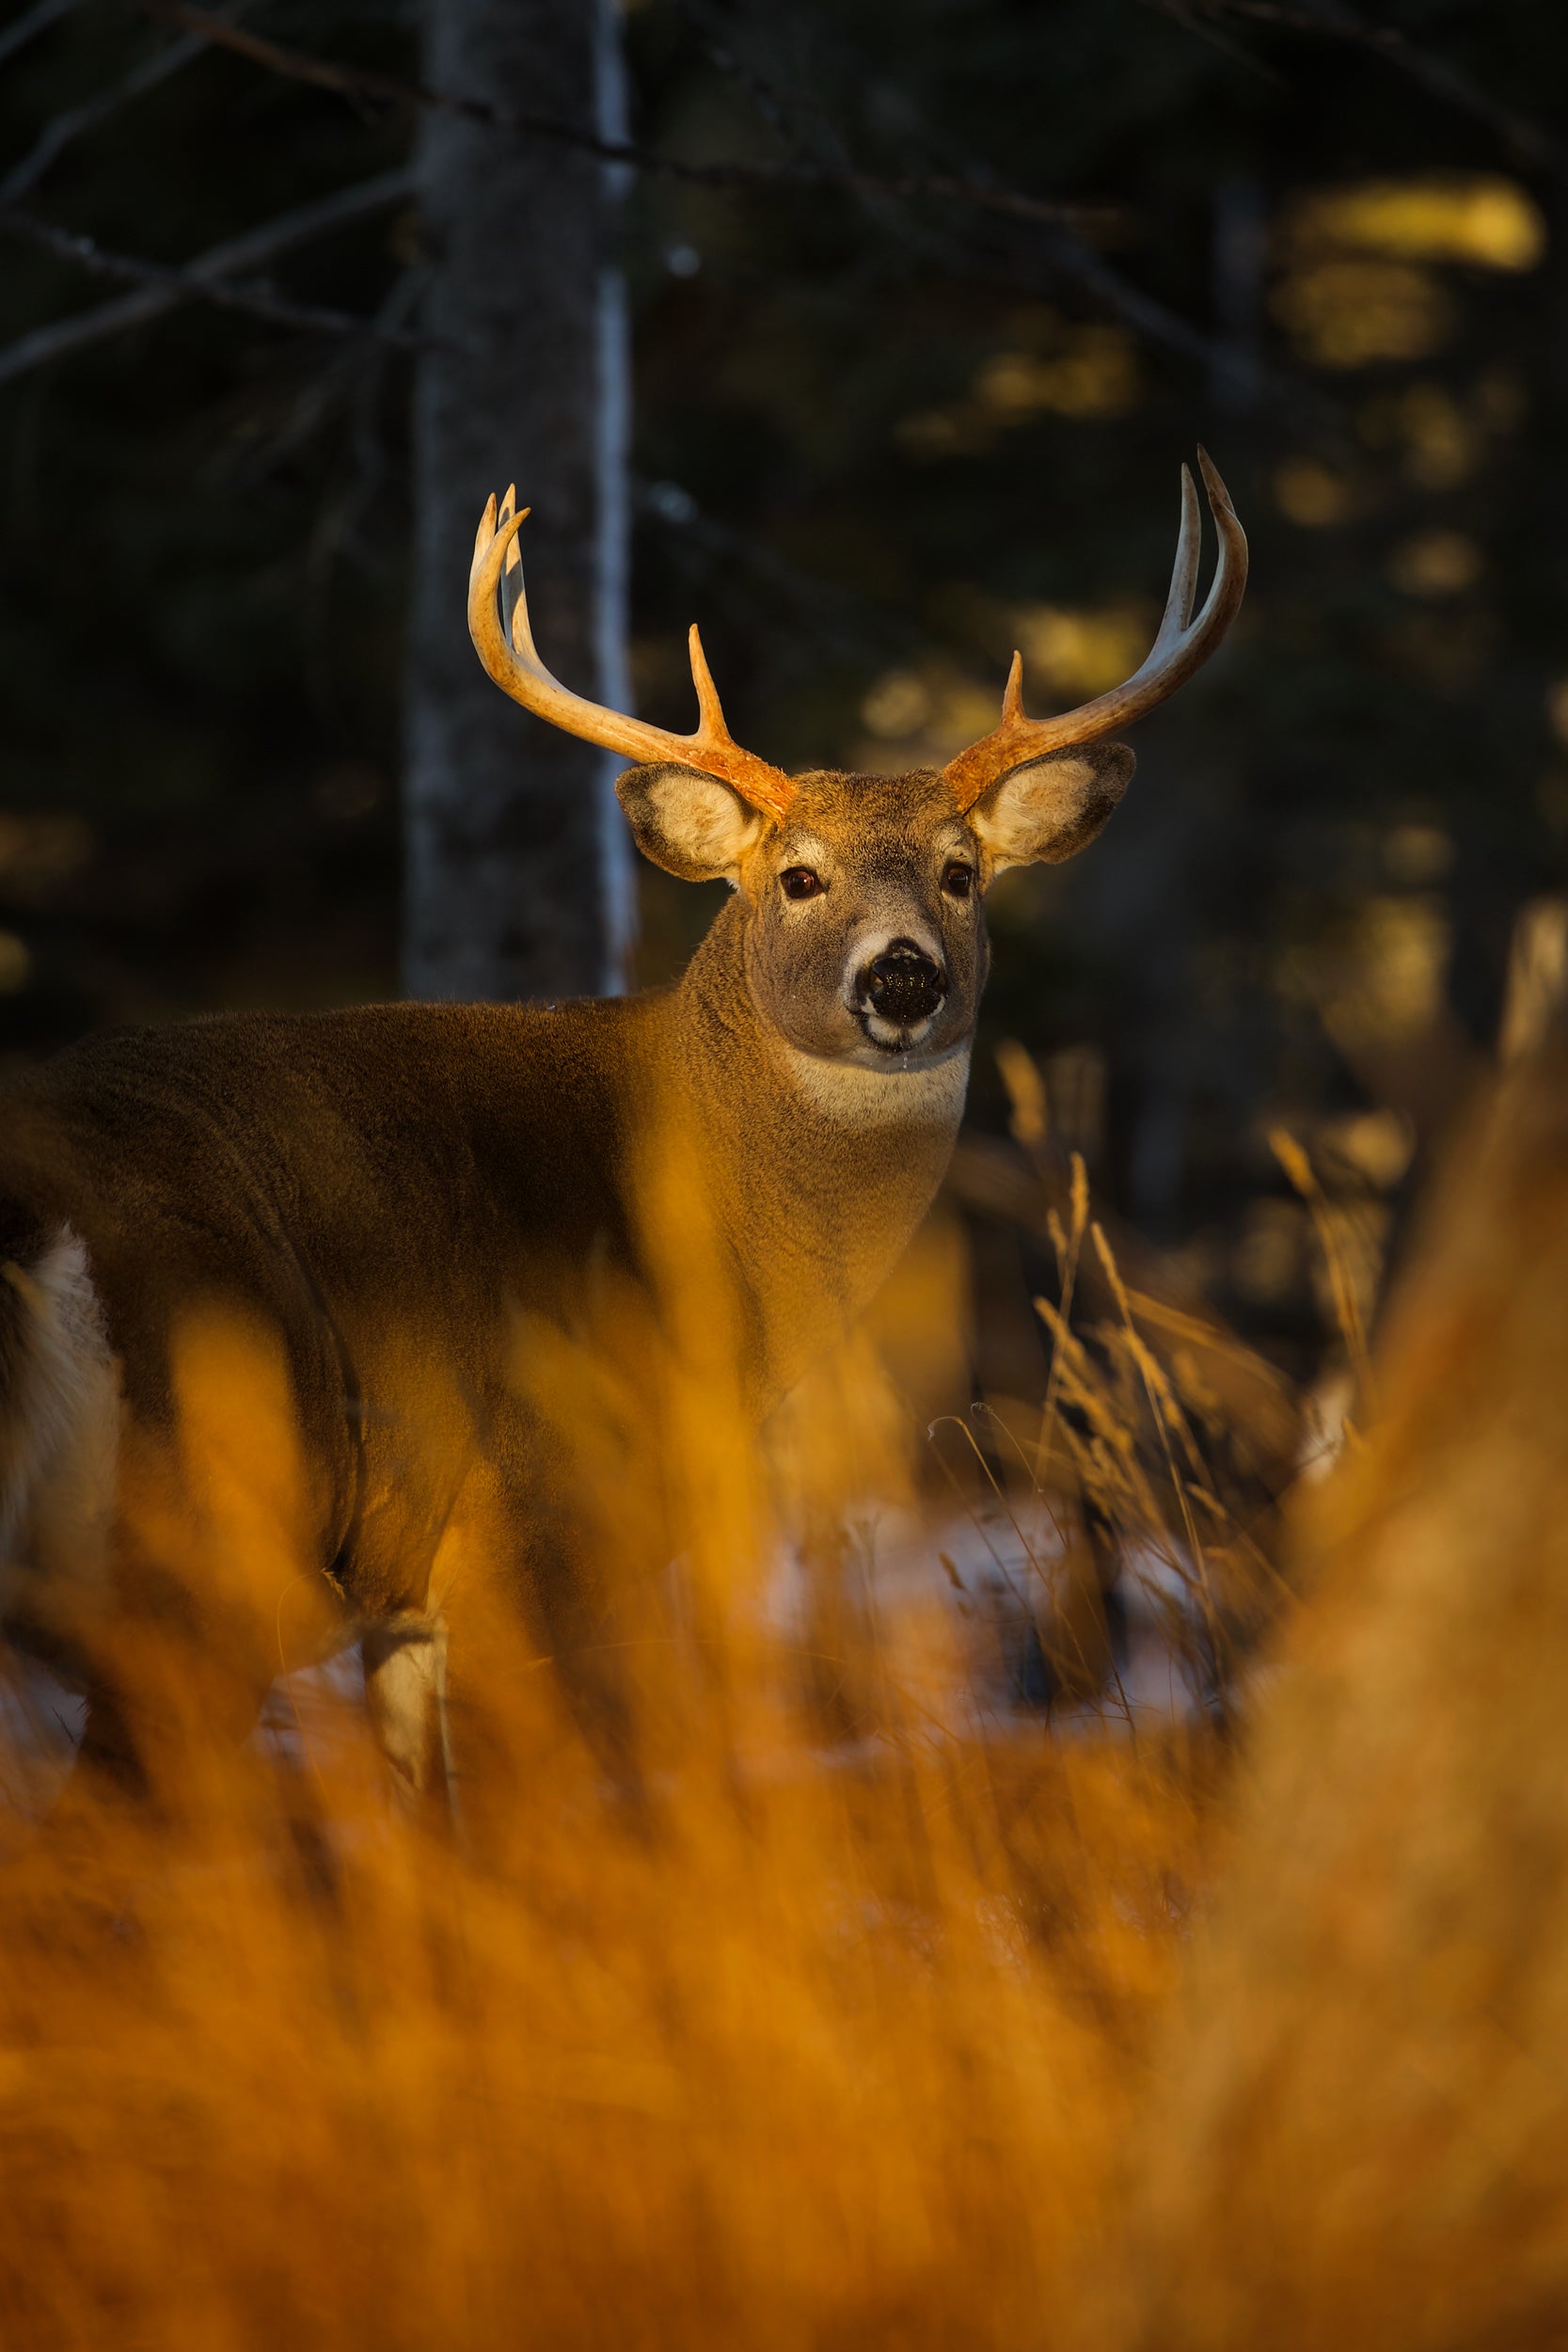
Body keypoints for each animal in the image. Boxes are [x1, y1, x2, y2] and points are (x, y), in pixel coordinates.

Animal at [0, 451, 1245, 1804]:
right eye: (797, 876)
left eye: (960, 873)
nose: (902, 977)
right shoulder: (532, 1526)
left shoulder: (409, 1598)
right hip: (204, 1532)